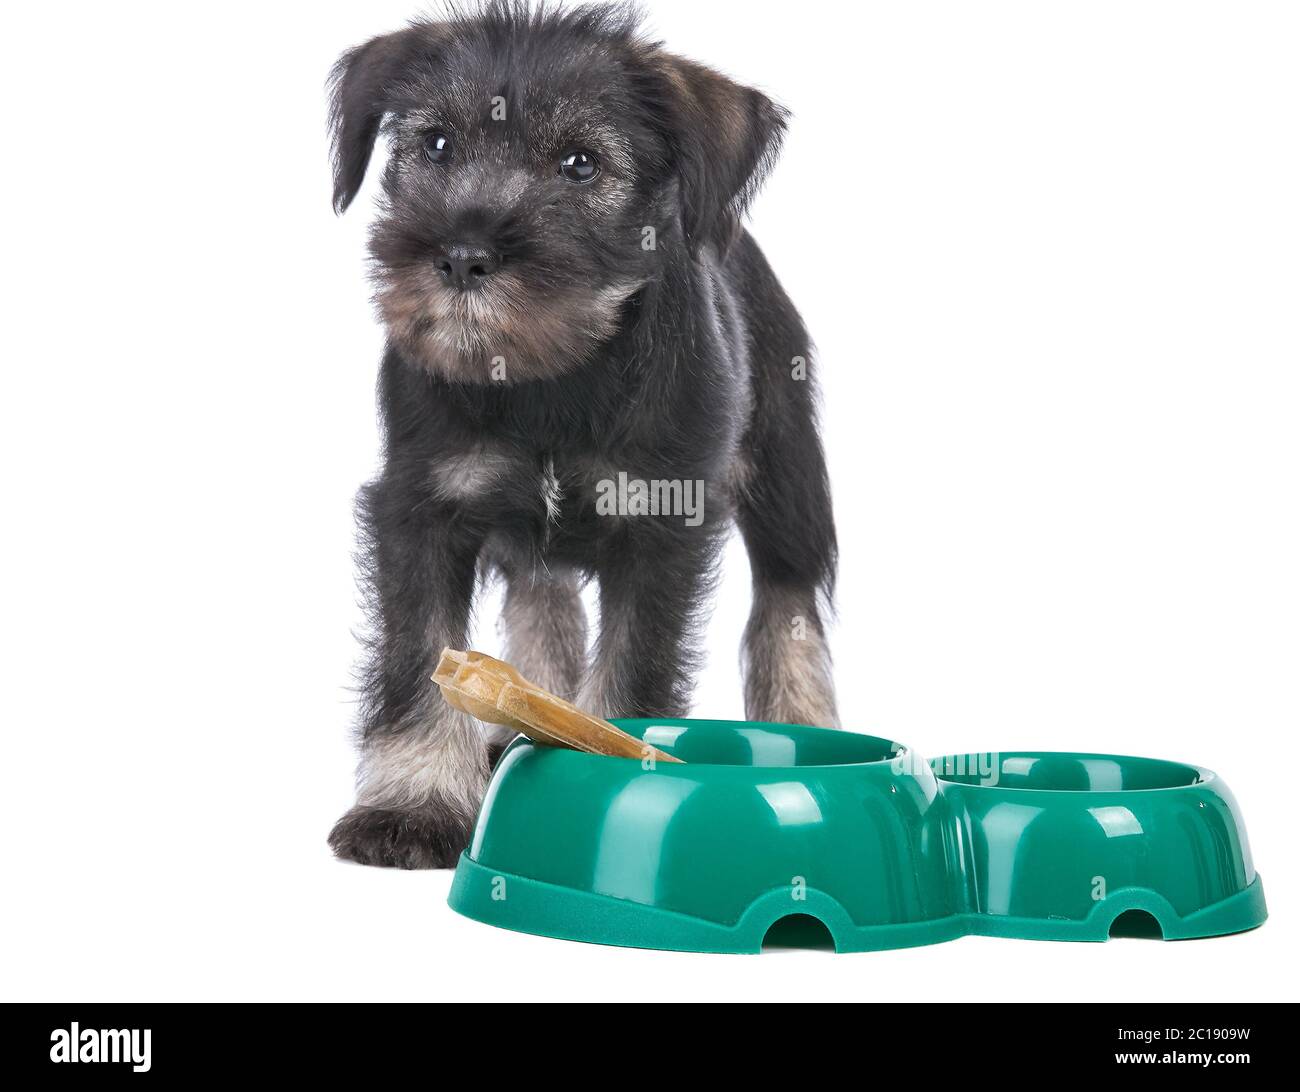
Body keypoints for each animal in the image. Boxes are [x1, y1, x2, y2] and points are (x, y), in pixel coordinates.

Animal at [323, 2, 832, 868]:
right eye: (436, 145)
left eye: (581, 164)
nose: (461, 256)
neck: (548, 379)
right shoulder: (421, 509)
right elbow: (417, 658)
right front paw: (413, 807)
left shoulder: (663, 531)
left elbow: (634, 669)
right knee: (544, 605)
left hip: (787, 489)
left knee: (788, 612)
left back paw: (811, 736)